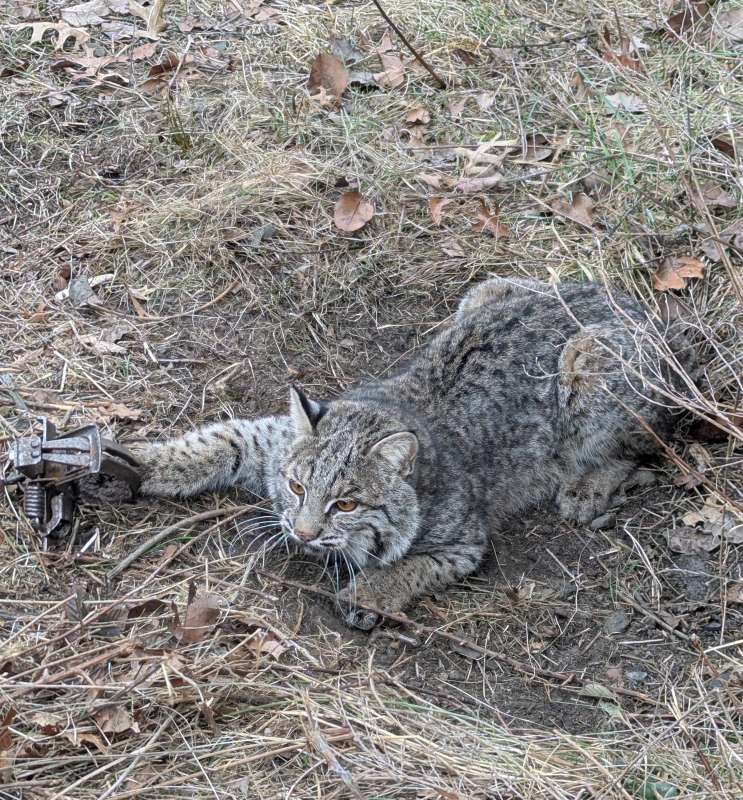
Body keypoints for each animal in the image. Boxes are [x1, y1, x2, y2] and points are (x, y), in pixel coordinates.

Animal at [134, 277, 693, 629]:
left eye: (346, 505)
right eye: (296, 487)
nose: (302, 534)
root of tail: (642, 310)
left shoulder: (465, 543)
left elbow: (409, 566)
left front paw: (369, 591)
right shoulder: (273, 440)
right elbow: (225, 438)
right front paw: (140, 462)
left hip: (586, 365)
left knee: (649, 441)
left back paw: (586, 486)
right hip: (487, 290)